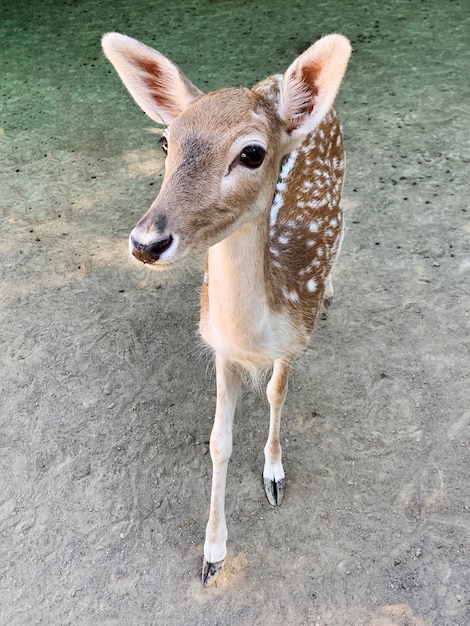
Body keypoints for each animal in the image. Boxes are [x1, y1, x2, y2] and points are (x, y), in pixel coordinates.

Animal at [103, 30, 352, 584]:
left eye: (252, 152)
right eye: (166, 141)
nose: (146, 242)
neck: (257, 335)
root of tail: (279, 79)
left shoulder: (295, 339)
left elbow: (277, 396)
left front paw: (274, 476)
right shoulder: (217, 344)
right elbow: (219, 440)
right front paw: (212, 554)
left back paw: (329, 285)